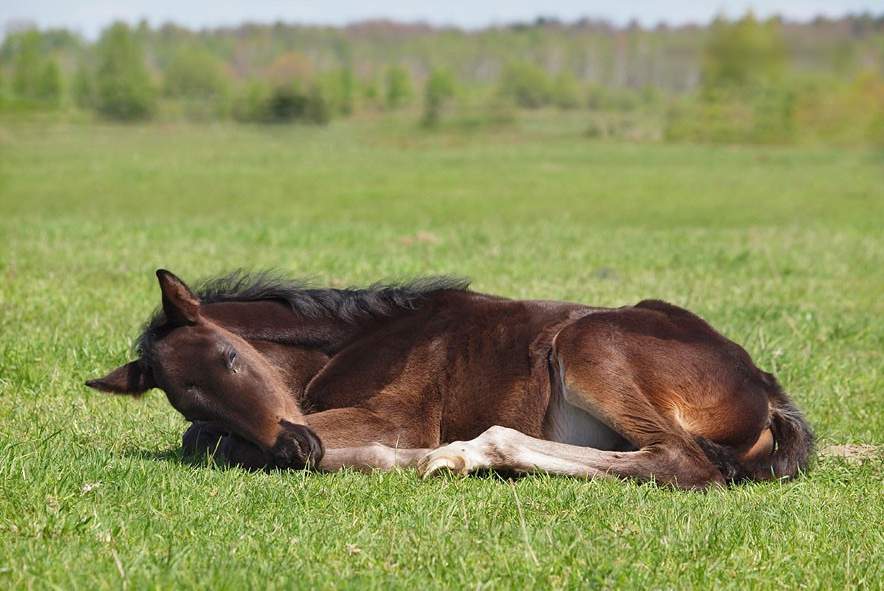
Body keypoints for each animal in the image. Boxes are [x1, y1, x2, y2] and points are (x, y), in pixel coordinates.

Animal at [88, 270, 816, 490]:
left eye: (231, 358)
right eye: (190, 401)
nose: (299, 447)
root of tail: (764, 385)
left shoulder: (397, 413)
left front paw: (408, 456)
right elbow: (208, 442)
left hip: (590, 343)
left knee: (679, 460)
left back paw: (473, 452)